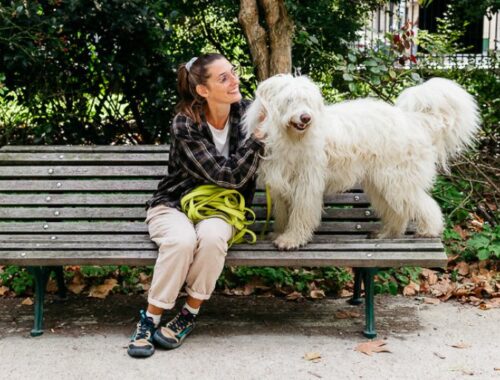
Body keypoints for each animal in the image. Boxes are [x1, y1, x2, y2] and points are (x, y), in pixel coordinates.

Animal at [246, 75, 480, 251]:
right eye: (289, 100)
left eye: (307, 101)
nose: (305, 118)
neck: (289, 137)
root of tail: (414, 120)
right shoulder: (280, 183)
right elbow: (283, 213)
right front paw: (278, 232)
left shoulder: (307, 182)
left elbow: (301, 213)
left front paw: (291, 239)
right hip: (380, 182)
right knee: (398, 211)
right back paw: (387, 233)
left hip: (396, 178)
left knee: (424, 204)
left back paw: (429, 230)